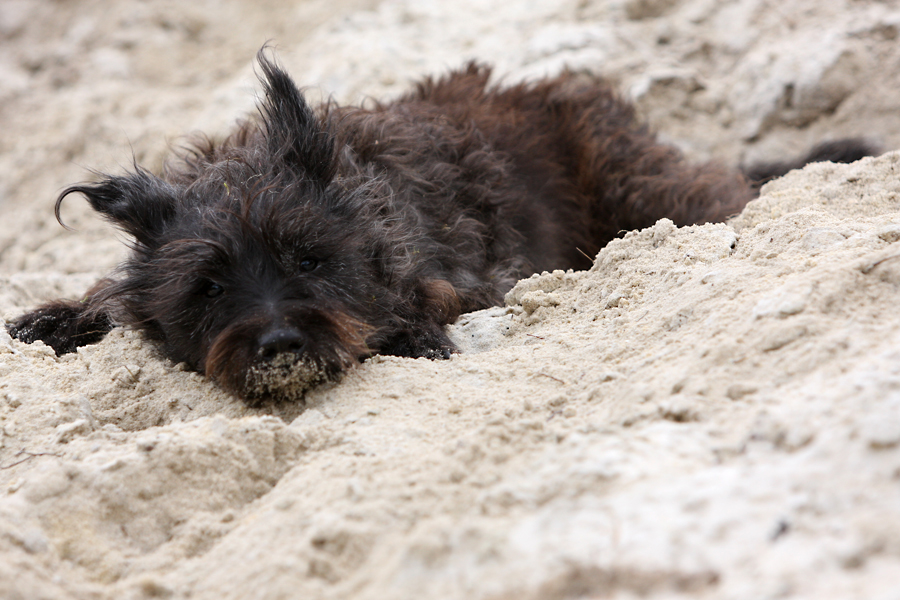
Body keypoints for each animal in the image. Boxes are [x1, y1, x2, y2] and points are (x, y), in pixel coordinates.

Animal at [5, 50, 872, 404]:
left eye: (310, 260)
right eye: (209, 287)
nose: (279, 344)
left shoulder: (468, 270)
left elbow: (427, 300)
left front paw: (412, 330)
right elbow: (108, 294)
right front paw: (57, 317)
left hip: (648, 189)